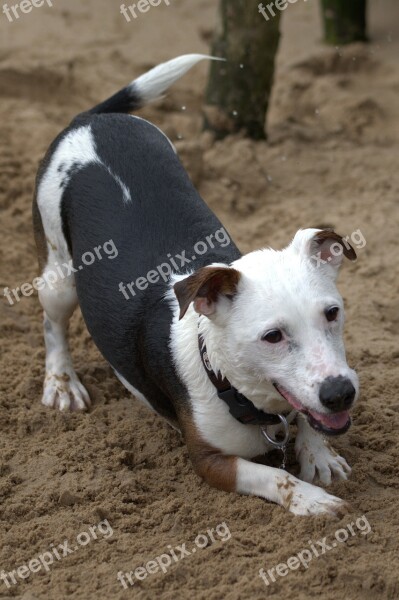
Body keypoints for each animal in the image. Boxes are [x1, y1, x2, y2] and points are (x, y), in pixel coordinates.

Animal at [33, 54, 360, 516]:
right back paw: (61, 382)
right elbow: (274, 475)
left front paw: (320, 456)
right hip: (58, 274)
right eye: (272, 336)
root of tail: (90, 120)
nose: (340, 393)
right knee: (53, 324)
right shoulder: (207, 460)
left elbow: (311, 423)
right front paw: (310, 499)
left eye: (332, 313)